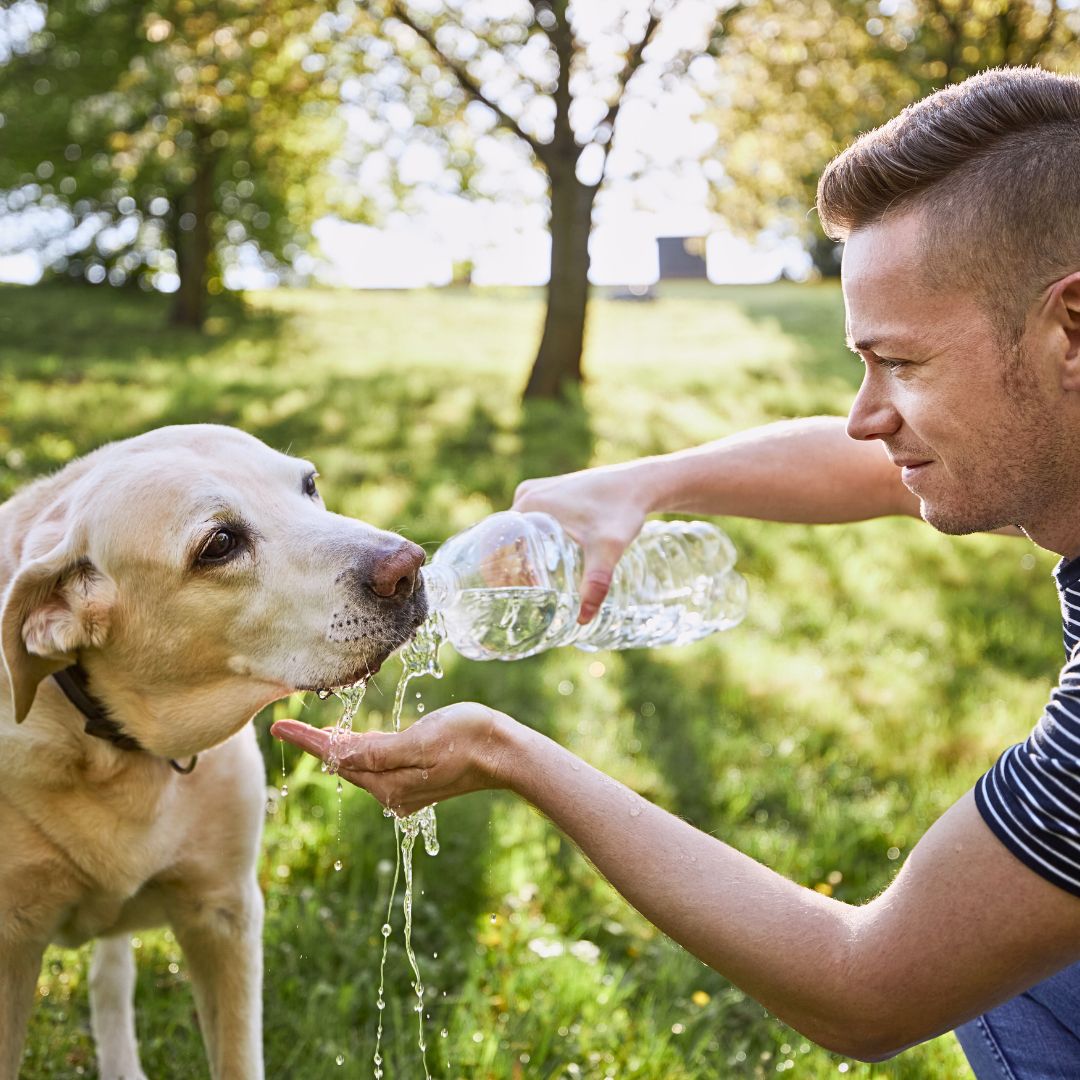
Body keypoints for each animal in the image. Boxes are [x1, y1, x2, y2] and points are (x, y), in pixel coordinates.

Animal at [0, 425, 427, 1075]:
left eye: (310, 485)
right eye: (220, 544)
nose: (408, 569)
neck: (115, 749)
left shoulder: (225, 916)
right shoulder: (11, 947)